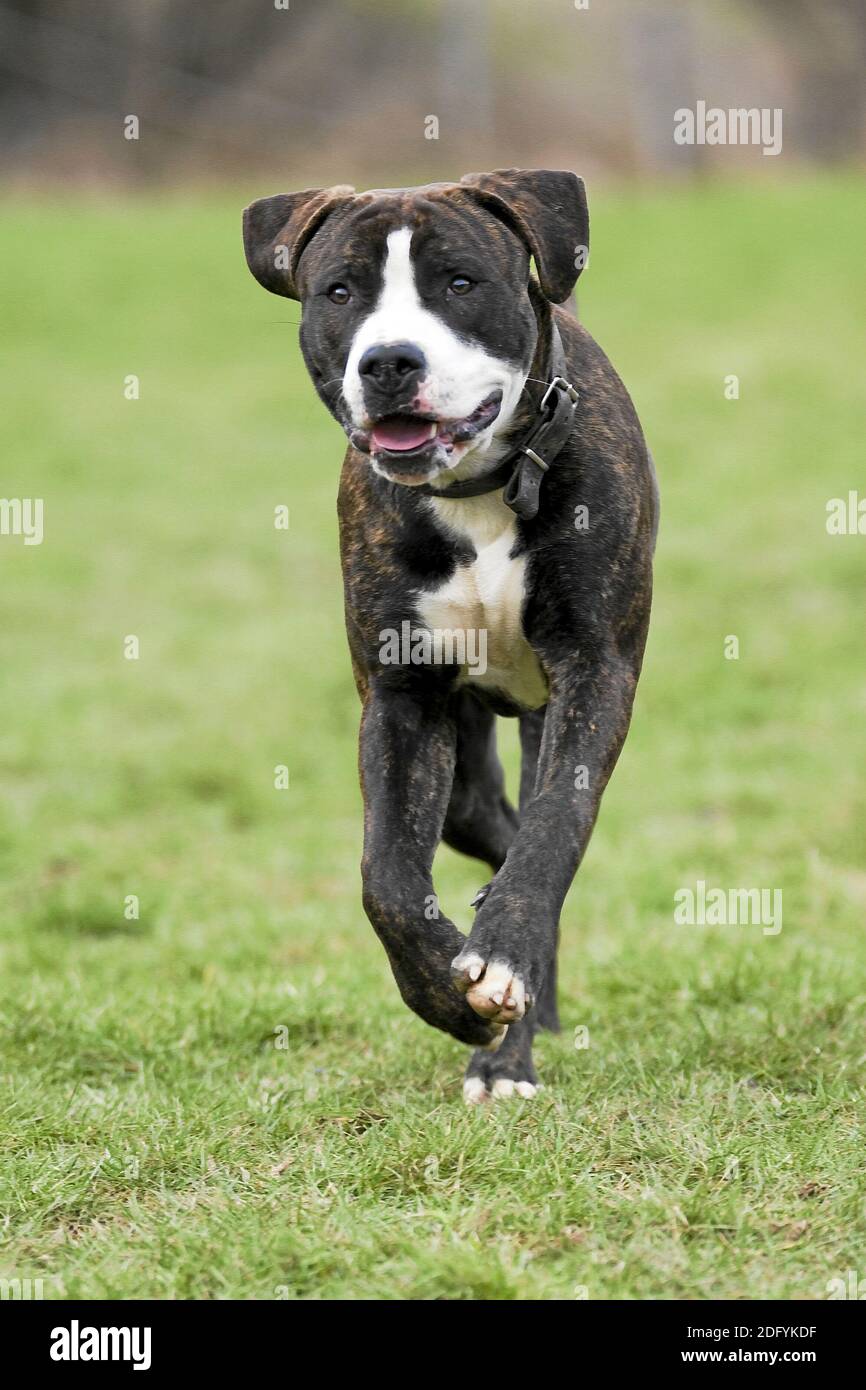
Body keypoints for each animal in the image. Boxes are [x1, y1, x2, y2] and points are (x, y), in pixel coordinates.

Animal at [244, 168, 656, 1100]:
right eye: (341, 292)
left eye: (459, 283)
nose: (389, 361)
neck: (480, 489)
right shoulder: (404, 697)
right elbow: (388, 876)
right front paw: (445, 992)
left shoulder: (596, 672)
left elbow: (556, 825)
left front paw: (500, 953)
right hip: (464, 778)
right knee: (490, 832)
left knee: (528, 838)